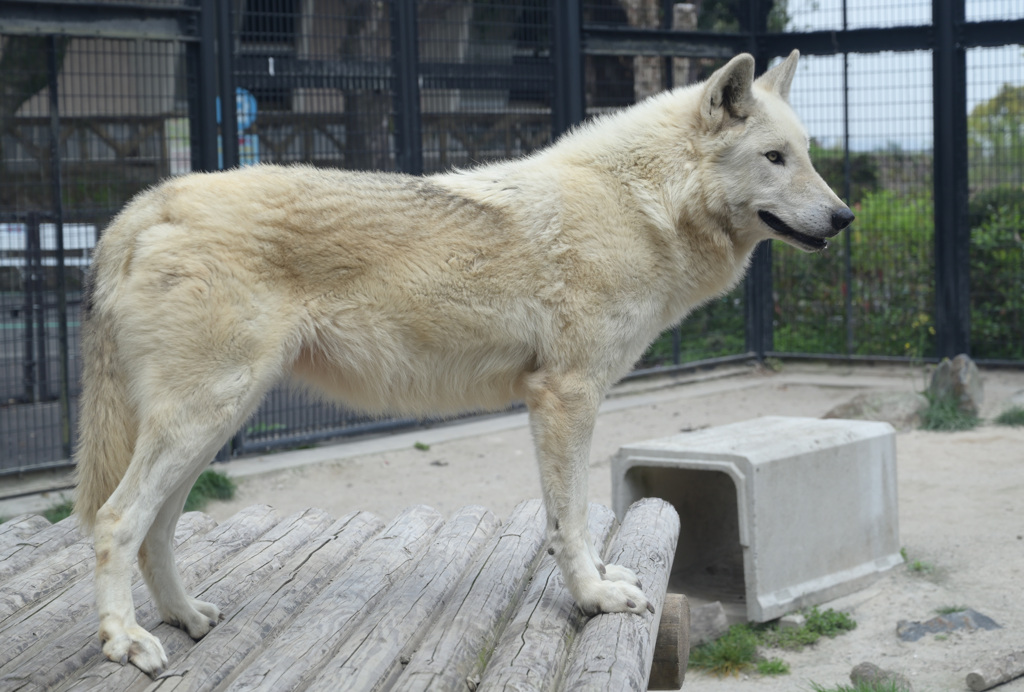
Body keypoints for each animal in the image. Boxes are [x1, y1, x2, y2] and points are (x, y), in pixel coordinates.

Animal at [75, 49, 851, 675]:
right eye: (774, 158)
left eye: (807, 154)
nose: (846, 217)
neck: (640, 205)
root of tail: (143, 206)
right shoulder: (566, 396)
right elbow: (569, 518)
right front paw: (594, 596)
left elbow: (573, 516)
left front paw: (602, 578)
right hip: (204, 418)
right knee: (116, 522)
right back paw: (126, 642)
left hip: (211, 424)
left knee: (157, 531)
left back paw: (185, 618)